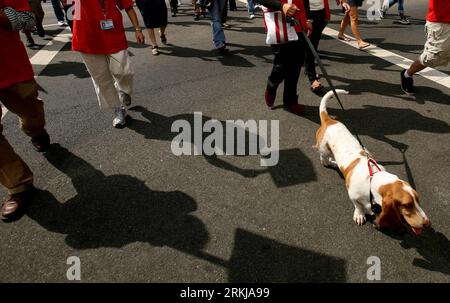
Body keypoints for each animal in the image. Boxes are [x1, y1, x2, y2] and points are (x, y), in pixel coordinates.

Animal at [314, 90, 430, 235]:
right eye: (407, 205)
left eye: (418, 200)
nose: (428, 224)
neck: (371, 181)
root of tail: (329, 121)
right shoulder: (352, 195)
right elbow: (358, 206)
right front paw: (359, 215)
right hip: (324, 149)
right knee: (323, 157)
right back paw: (328, 163)